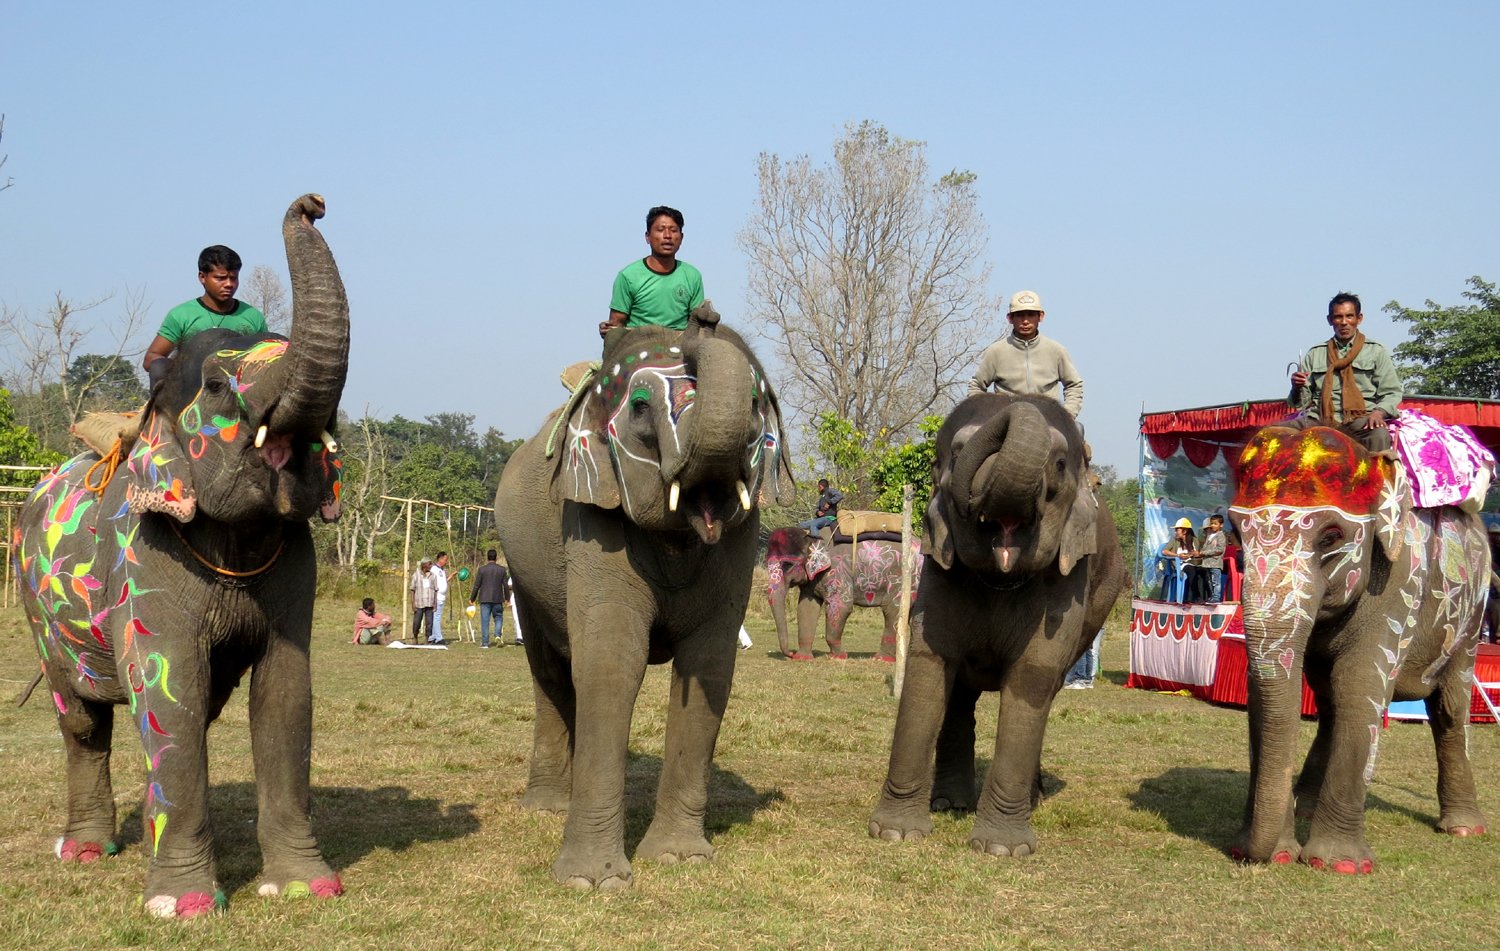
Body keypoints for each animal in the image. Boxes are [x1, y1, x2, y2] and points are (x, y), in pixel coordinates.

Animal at [14, 194, 349, 917]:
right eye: (218, 386)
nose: (312, 203)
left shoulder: (294, 570)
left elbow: (287, 693)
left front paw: (309, 888)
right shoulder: (145, 560)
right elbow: (169, 690)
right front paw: (183, 907)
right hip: (37, 610)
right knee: (81, 720)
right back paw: (87, 850)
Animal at [494, 304, 793, 890]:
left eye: (755, 406)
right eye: (638, 407)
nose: (704, 315)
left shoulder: (740, 538)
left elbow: (709, 666)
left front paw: (680, 859)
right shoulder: (590, 518)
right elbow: (613, 662)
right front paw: (592, 883)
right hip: (523, 573)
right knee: (550, 673)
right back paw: (546, 806)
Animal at [763, 525, 921, 661]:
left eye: (787, 565)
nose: (790, 653)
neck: (811, 536)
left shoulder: (837, 570)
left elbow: (841, 606)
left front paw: (838, 656)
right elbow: (806, 608)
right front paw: (802, 658)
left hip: (904, 580)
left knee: (893, 610)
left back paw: (881, 659)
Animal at [869, 393, 1125, 856]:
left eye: (1060, 463)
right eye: (955, 455)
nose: (1014, 401)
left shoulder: (1068, 586)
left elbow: (1032, 676)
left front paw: (1001, 850)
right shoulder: (939, 570)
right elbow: (928, 665)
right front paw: (895, 833)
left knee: (1047, 692)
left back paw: (1029, 797)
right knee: (959, 698)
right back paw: (950, 803)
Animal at [1228, 425, 1490, 873]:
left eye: (1331, 536)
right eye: (1235, 534)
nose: (1251, 854)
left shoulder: (1401, 582)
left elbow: (1361, 683)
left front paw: (1339, 865)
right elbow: (1267, 690)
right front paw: (1279, 853)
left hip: (1471, 613)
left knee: (1450, 705)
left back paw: (1463, 830)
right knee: (1329, 703)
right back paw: (1304, 808)